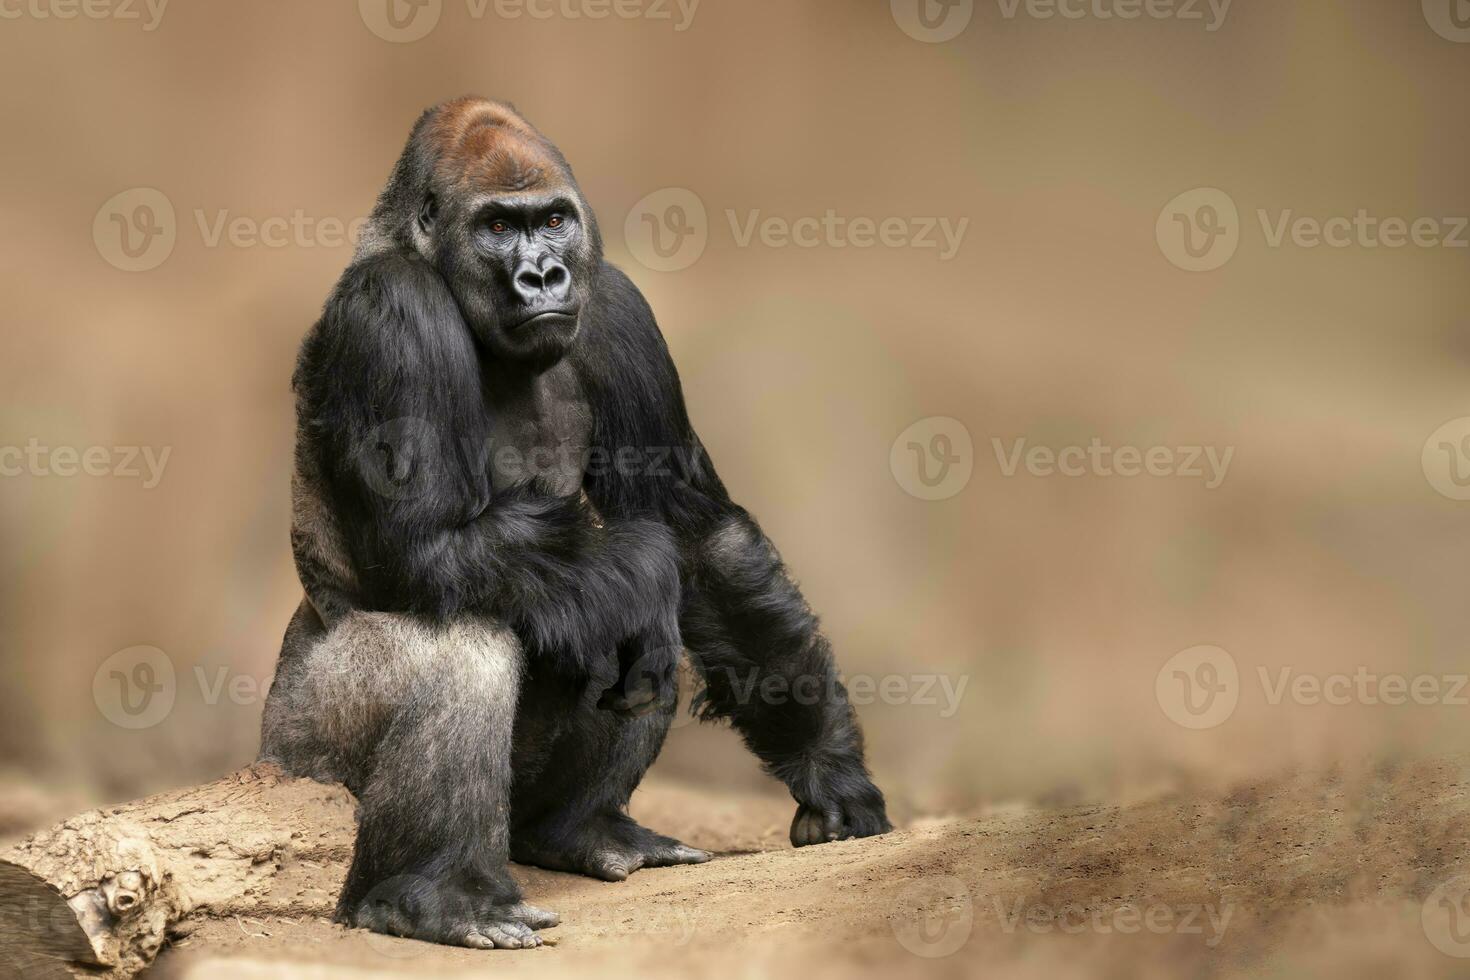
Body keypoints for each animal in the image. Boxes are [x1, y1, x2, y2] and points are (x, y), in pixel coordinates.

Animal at [258, 97, 887, 952]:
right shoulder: (392, 308)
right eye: (496, 226)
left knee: (639, 643)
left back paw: (576, 829)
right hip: (299, 764)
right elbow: (433, 546)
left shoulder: (618, 308)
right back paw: (432, 895)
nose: (543, 275)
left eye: (553, 220)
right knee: (470, 643)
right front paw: (641, 567)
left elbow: (698, 538)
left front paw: (827, 762)